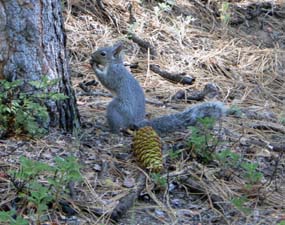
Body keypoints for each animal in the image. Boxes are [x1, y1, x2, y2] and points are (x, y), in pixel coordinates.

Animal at [90, 42, 225, 134]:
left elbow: (107, 82)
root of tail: (136, 121)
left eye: (103, 53)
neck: (115, 64)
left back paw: (111, 129)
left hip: (118, 108)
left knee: (118, 124)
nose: (91, 55)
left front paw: (94, 66)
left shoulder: (114, 75)